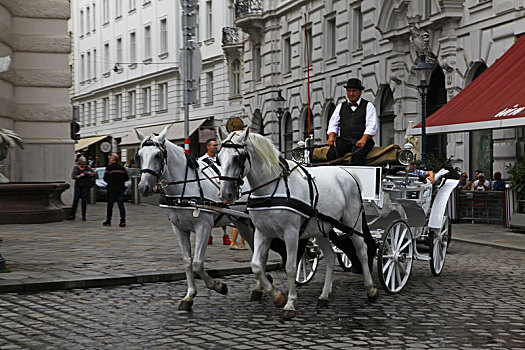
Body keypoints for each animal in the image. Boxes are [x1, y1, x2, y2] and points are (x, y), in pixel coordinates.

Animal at [135, 127, 282, 310]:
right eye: (139, 156)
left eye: (157, 155)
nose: (143, 187)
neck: (185, 187)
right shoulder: (178, 228)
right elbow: (187, 261)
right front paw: (188, 296)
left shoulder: (203, 226)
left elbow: (197, 263)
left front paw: (218, 286)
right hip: (242, 222)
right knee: (257, 251)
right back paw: (260, 287)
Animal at [217, 129, 376, 320]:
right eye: (218, 158)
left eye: (236, 158)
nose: (225, 194)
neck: (272, 190)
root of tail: (347, 171)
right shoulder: (262, 232)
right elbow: (256, 265)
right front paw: (276, 296)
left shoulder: (291, 233)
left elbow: (291, 267)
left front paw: (290, 304)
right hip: (321, 229)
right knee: (330, 256)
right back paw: (324, 296)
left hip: (352, 223)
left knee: (362, 251)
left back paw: (371, 289)